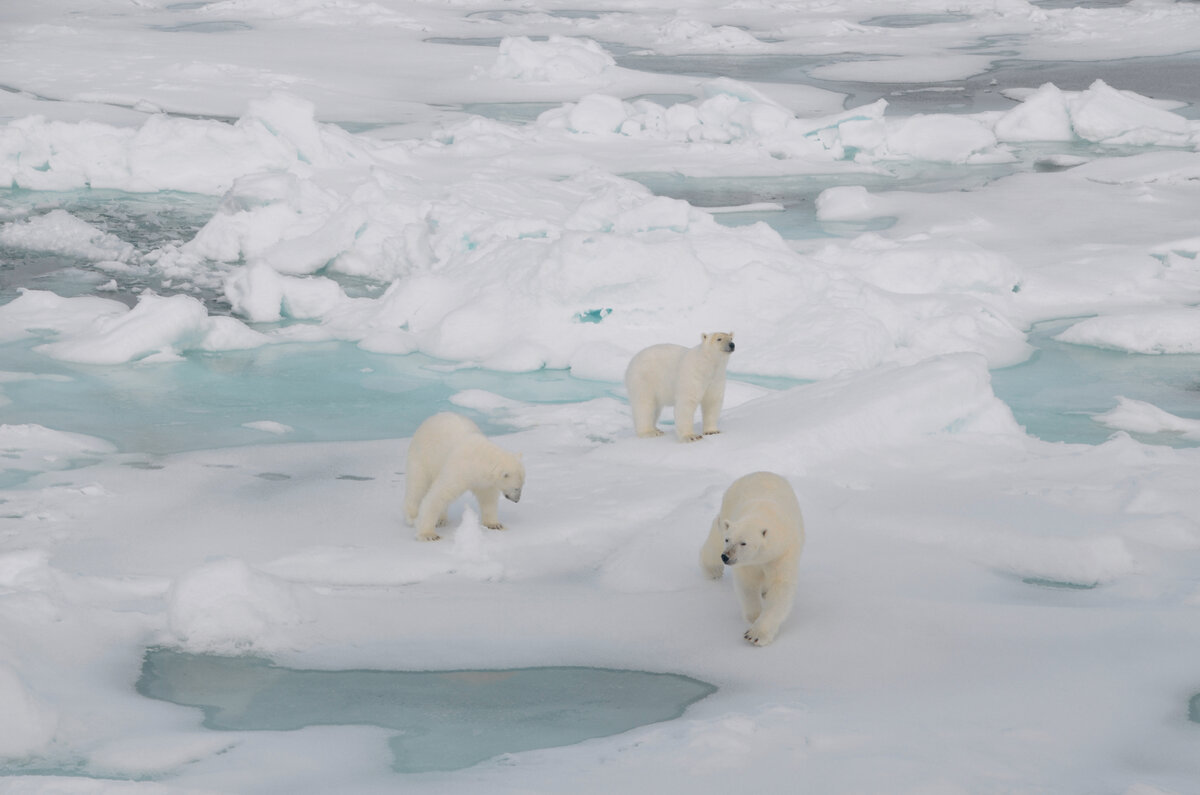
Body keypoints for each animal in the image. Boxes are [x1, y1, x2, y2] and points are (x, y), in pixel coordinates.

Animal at [403, 413, 525, 545]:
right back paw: (412, 517)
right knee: (417, 485)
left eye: (522, 486)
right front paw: (429, 535)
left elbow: (488, 498)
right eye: (516, 488)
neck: (480, 459)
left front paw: (494, 524)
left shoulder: (484, 481)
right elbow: (438, 495)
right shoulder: (459, 469)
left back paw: (441, 520)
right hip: (421, 456)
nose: (517, 500)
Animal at [700, 473, 806, 648]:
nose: (726, 556)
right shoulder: (747, 563)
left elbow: (780, 588)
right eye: (728, 540)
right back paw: (712, 570)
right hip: (727, 506)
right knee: (717, 530)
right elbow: (748, 584)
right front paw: (754, 616)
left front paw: (756, 635)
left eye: (743, 543)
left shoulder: (782, 553)